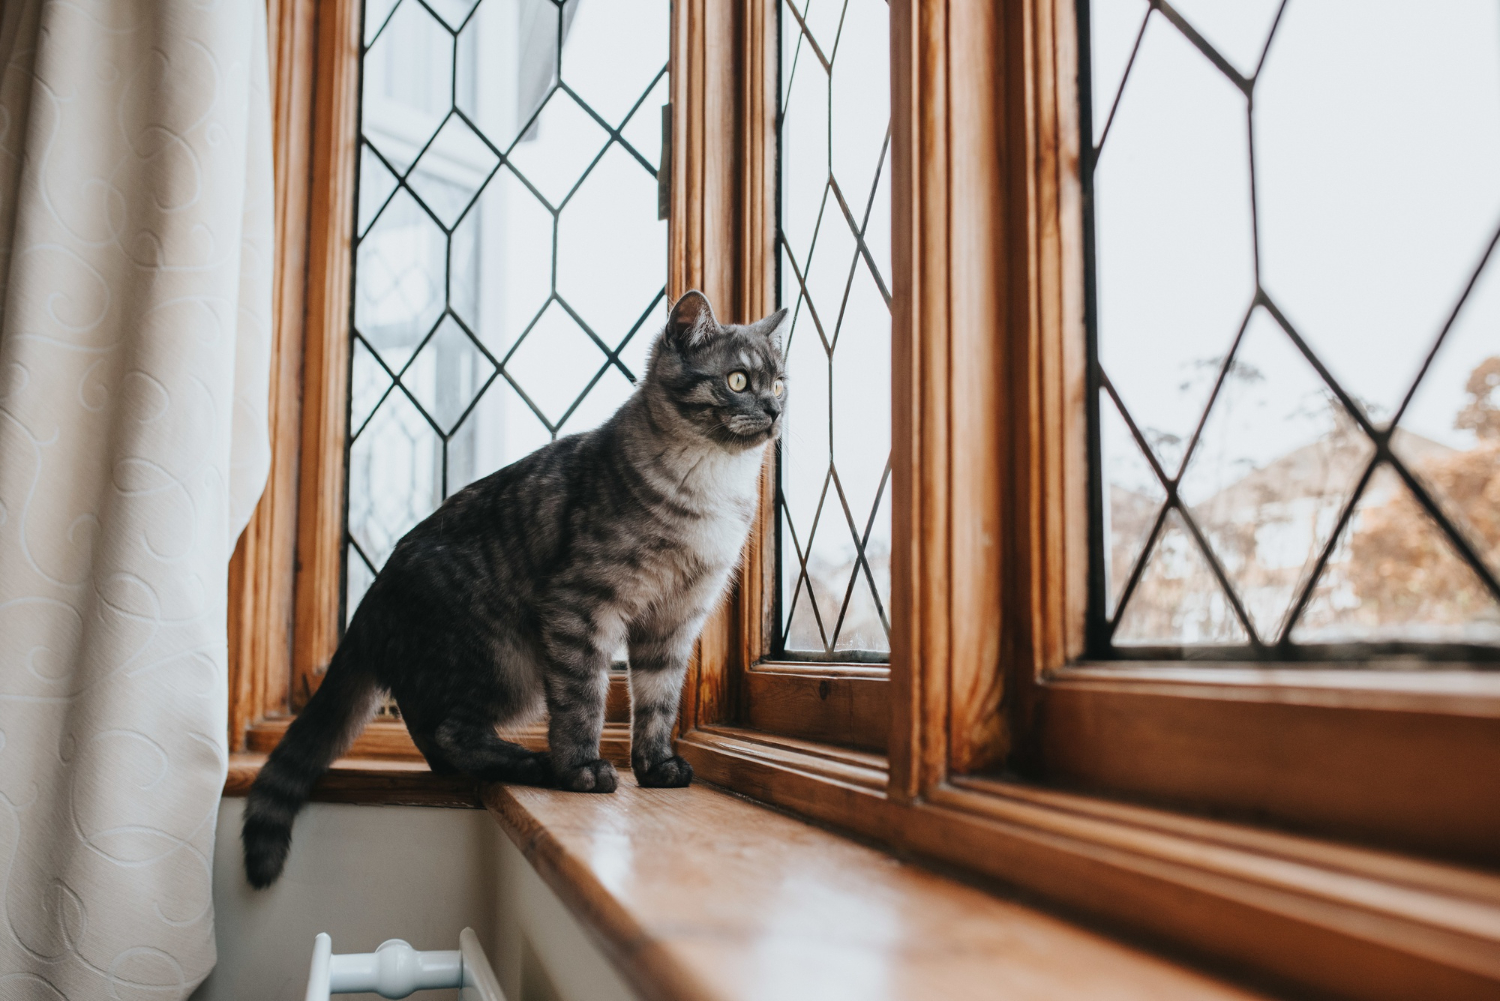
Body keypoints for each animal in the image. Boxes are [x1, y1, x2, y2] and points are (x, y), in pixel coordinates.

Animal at [240, 294, 792, 888]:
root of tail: (372, 600)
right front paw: (580, 771)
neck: (712, 484)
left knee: (432, 735)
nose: (774, 411)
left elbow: (659, 702)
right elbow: (583, 702)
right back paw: (533, 763)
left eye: (780, 384)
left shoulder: (672, 622)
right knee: (449, 730)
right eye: (737, 380)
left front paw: (656, 766)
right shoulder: (580, 605)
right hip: (504, 661)